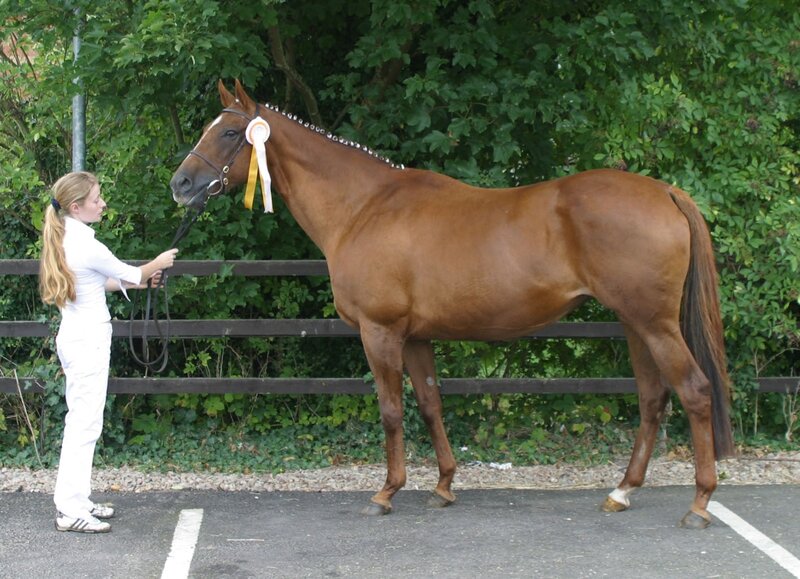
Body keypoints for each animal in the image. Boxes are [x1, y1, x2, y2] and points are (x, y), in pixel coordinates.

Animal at [170, 80, 734, 529]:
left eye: (228, 133)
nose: (180, 184)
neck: (363, 208)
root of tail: (664, 191)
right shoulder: (416, 336)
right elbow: (430, 403)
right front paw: (443, 486)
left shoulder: (380, 332)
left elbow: (392, 410)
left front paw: (386, 492)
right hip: (635, 323)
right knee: (653, 399)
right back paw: (622, 491)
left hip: (655, 325)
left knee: (694, 390)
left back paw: (700, 503)